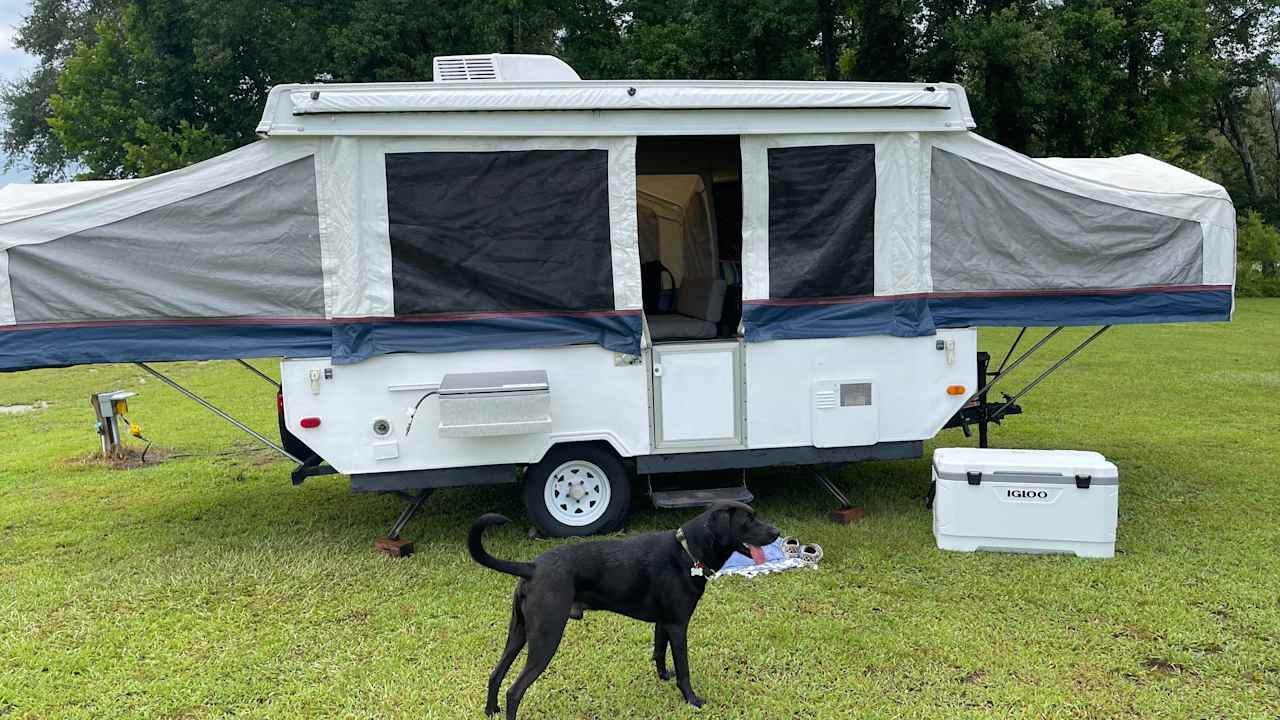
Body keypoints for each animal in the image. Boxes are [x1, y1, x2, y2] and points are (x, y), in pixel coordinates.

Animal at [465, 502, 773, 712]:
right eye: (749, 520)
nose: (777, 531)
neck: (687, 553)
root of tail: (532, 567)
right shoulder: (678, 625)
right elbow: (684, 669)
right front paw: (692, 699)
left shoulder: (663, 623)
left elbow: (659, 652)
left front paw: (663, 677)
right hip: (546, 638)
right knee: (514, 691)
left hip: (518, 633)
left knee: (495, 674)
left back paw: (490, 711)